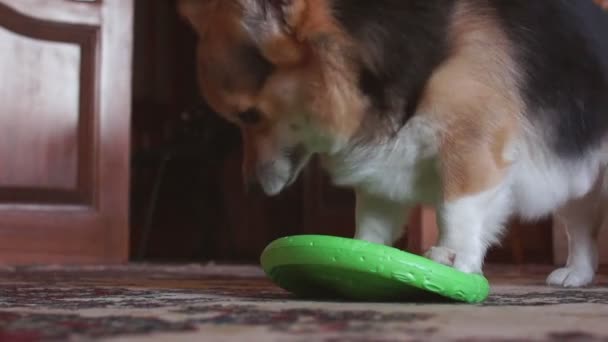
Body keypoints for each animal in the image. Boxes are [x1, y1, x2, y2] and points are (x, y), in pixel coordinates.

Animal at [179, 1, 608, 288]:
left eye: (249, 116)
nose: (249, 189)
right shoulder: (382, 171)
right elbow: (371, 224)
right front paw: (360, 255)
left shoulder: (469, 147)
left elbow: (455, 210)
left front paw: (452, 256)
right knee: (581, 229)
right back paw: (576, 274)